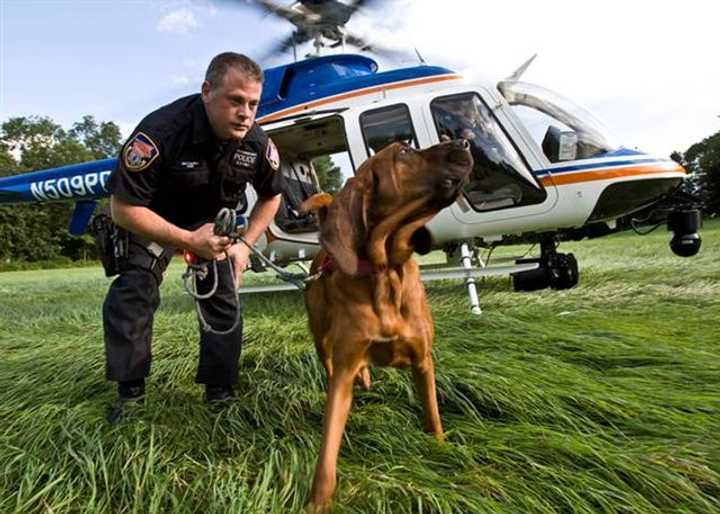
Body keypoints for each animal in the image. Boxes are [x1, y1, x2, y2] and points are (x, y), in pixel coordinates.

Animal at [300, 138, 472, 506]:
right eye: (404, 152)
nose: (465, 139)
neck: (385, 270)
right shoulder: (344, 370)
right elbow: (328, 448)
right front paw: (318, 502)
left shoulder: (423, 360)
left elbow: (432, 413)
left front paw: (440, 447)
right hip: (321, 337)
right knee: (329, 362)